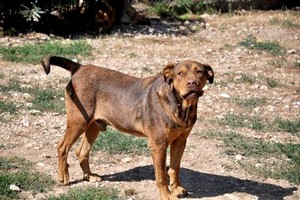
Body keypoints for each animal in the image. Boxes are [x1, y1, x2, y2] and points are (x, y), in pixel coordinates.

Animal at [41, 56, 213, 200]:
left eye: (199, 72)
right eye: (180, 74)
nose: (192, 83)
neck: (180, 105)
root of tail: (79, 68)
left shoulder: (180, 141)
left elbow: (174, 168)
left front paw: (176, 189)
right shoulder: (158, 145)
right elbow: (161, 175)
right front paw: (167, 195)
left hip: (93, 125)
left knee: (81, 151)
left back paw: (89, 176)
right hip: (78, 121)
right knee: (62, 147)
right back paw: (63, 177)